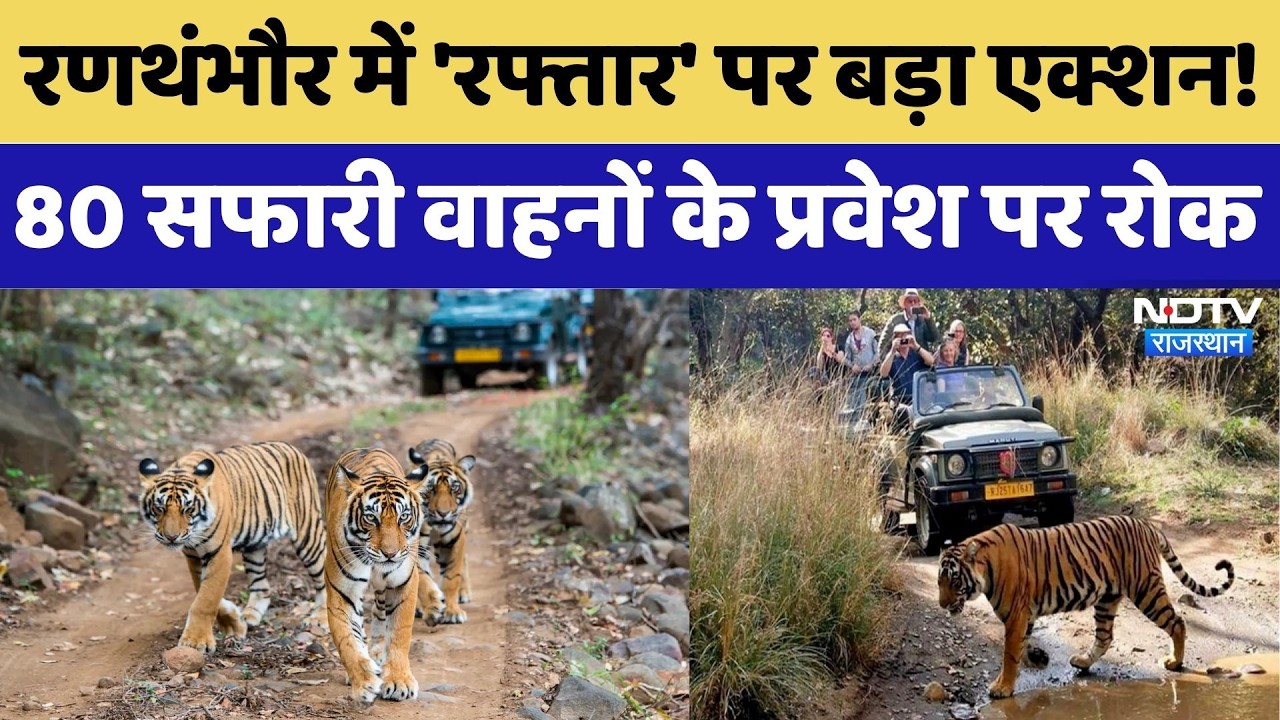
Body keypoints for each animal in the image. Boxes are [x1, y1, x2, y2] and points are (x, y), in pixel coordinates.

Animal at [138, 441, 328, 654]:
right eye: (159, 508)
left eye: (188, 509)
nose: (171, 537)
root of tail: (291, 447)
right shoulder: (193, 556)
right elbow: (202, 590)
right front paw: (234, 623)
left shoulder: (219, 553)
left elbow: (206, 598)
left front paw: (196, 641)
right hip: (255, 545)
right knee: (262, 585)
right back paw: (251, 616)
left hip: (308, 532)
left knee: (324, 575)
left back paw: (320, 618)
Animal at [323, 448, 428, 707]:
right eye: (372, 518)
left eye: (404, 517)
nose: (390, 553)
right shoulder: (342, 591)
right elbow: (347, 639)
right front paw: (364, 682)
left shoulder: (403, 584)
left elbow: (399, 633)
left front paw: (399, 682)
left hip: (384, 588)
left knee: (380, 614)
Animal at [406, 438, 477, 624]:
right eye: (430, 489)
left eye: (454, 488)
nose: (443, 513)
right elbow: (422, 579)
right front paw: (433, 608)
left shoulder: (455, 541)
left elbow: (451, 577)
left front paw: (452, 612)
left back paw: (464, 593)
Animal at [938, 514, 1234, 699]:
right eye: (939, 581)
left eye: (954, 580)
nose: (942, 604)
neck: (986, 568)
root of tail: (1147, 525)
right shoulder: (1024, 615)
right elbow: (1022, 644)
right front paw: (1037, 657)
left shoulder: (1016, 615)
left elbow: (1009, 653)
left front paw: (1002, 687)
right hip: (1107, 599)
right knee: (1105, 637)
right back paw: (1082, 662)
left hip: (1146, 589)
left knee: (1177, 622)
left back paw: (1175, 662)